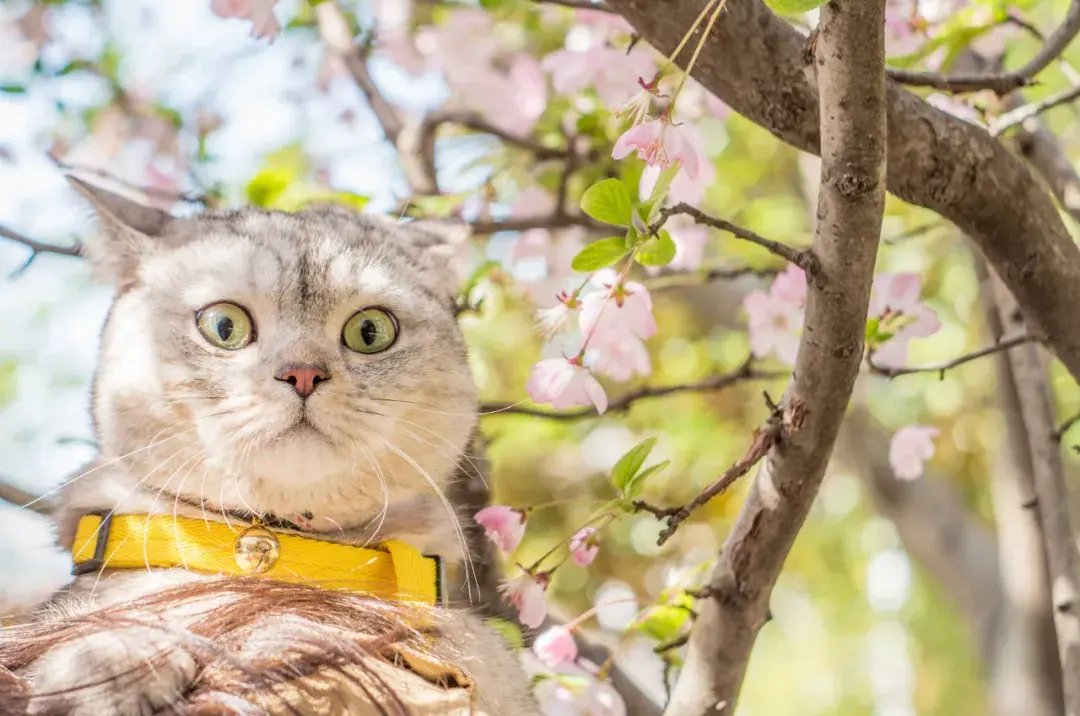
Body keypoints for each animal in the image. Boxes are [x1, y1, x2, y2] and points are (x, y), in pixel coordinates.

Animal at [0, 179, 540, 716]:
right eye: (224, 326)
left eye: (370, 331)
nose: (303, 373)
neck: (279, 548)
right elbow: (109, 626)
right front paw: (107, 669)